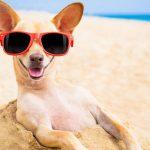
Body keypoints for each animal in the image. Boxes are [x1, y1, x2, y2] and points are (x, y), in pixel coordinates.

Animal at [0, 1, 141, 150]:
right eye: (19, 42)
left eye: (52, 42)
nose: (36, 58)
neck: (48, 88)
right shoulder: (42, 130)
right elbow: (66, 135)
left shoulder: (100, 112)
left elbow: (124, 129)